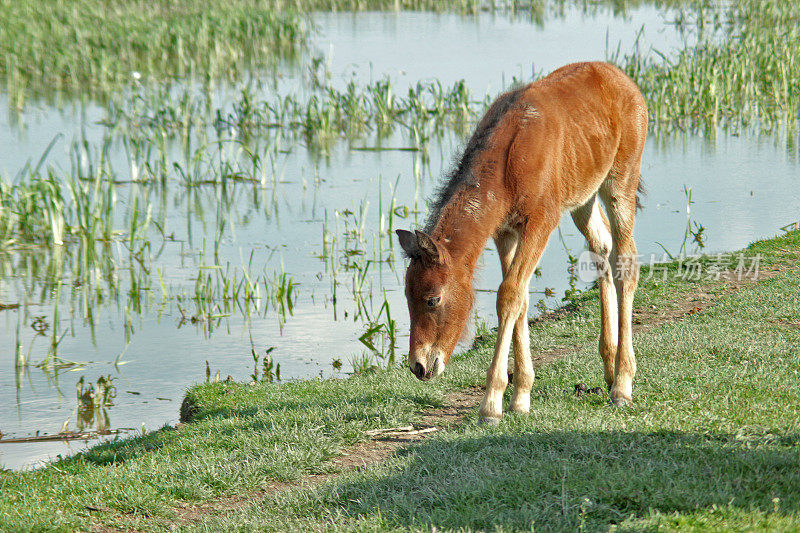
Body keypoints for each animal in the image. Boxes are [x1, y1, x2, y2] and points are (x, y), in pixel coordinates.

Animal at [396, 61, 648, 420]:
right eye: (407, 296)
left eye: (432, 299)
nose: (418, 365)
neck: (507, 164)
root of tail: (622, 78)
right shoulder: (505, 230)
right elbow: (521, 298)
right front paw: (520, 397)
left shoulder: (541, 221)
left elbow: (509, 295)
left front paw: (491, 404)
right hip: (583, 197)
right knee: (602, 247)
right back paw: (609, 368)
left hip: (621, 181)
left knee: (626, 262)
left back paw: (622, 385)